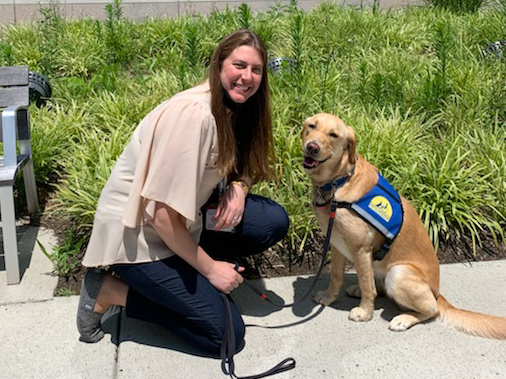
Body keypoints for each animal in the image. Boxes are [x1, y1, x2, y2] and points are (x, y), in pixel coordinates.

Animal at [302, 112, 504, 338]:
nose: (312, 147)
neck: (339, 181)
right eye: (312, 126)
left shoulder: (361, 248)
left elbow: (367, 287)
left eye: (333, 135)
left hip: (398, 273)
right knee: (377, 284)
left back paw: (403, 319)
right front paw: (329, 297)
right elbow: (336, 276)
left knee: (431, 310)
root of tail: (437, 292)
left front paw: (365, 313)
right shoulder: (337, 243)